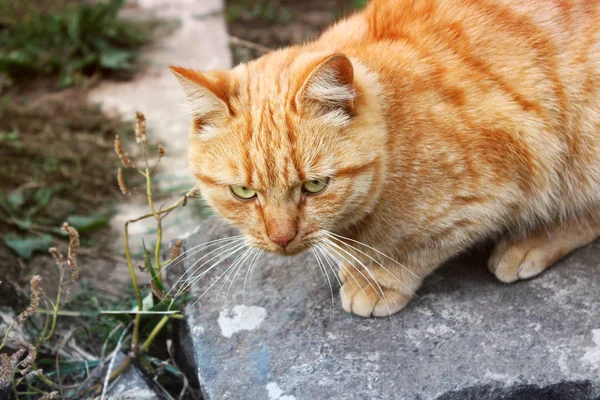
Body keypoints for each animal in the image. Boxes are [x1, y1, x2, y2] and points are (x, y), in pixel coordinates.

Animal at [170, 0, 600, 318]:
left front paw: (376, 279)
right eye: (243, 192)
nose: (281, 239)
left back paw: (532, 242)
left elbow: (418, 248)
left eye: (314, 185)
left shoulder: (495, 192)